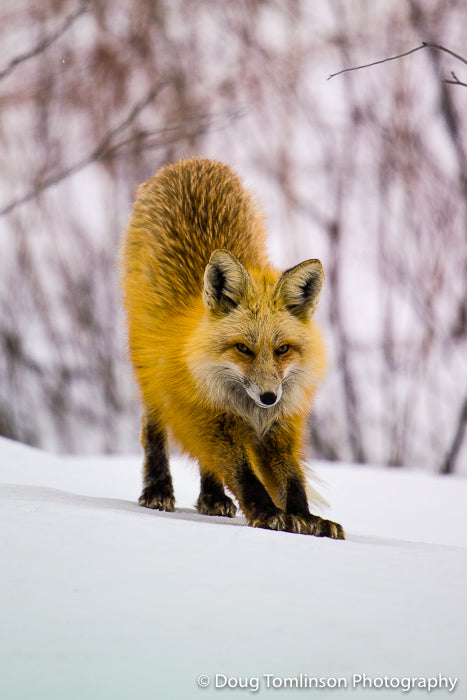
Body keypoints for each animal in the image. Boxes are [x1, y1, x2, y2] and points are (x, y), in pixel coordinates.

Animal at [120, 157, 344, 538]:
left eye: (283, 349)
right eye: (243, 348)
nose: (269, 397)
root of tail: (194, 162)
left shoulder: (281, 427)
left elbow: (292, 479)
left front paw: (305, 517)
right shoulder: (210, 420)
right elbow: (245, 475)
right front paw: (267, 513)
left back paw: (212, 498)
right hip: (147, 366)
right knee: (154, 430)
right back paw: (157, 489)